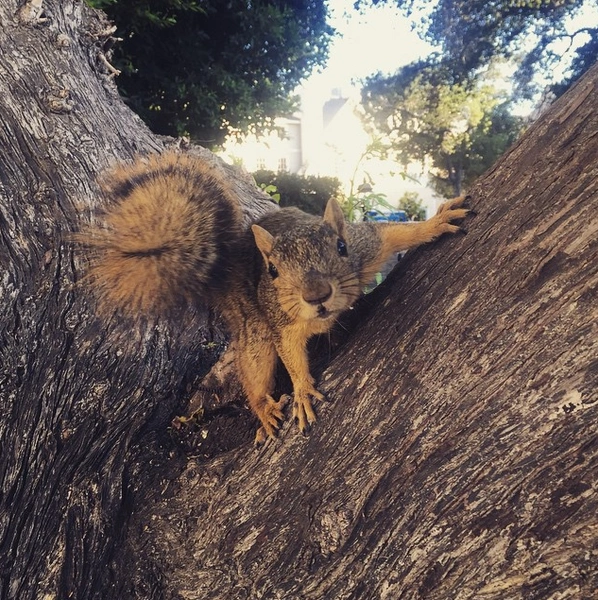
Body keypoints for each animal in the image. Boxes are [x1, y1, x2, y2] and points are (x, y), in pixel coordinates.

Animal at [81, 151, 474, 440]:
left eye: (341, 246)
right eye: (272, 271)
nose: (316, 295)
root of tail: (226, 265)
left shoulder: (367, 248)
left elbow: (395, 234)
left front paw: (434, 223)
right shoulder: (283, 324)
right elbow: (290, 354)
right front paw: (301, 390)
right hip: (253, 326)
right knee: (253, 368)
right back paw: (264, 408)